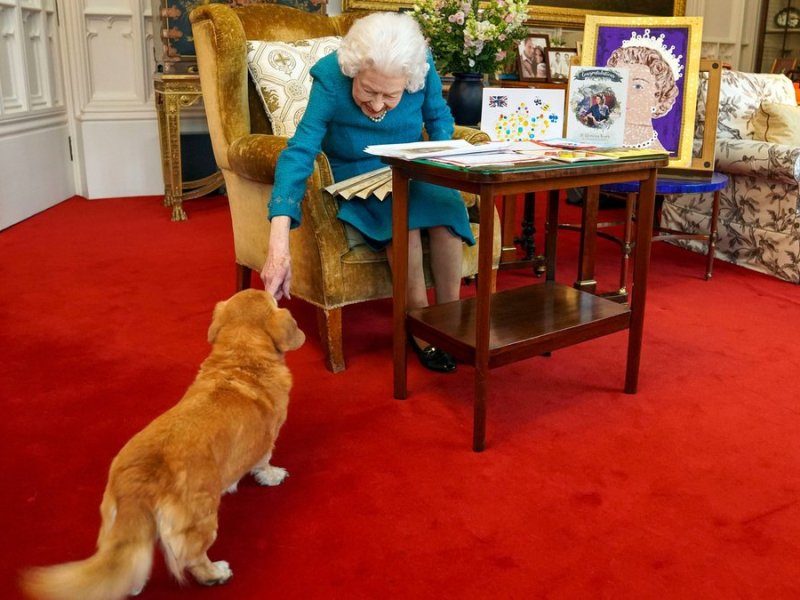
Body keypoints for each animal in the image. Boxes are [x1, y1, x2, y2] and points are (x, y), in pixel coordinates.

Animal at [21, 288, 304, 596]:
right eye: (271, 299)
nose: (272, 288)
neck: (240, 360)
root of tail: (138, 482)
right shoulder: (267, 439)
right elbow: (264, 462)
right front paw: (273, 476)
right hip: (201, 521)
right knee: (194, 559)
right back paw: (216, 573)